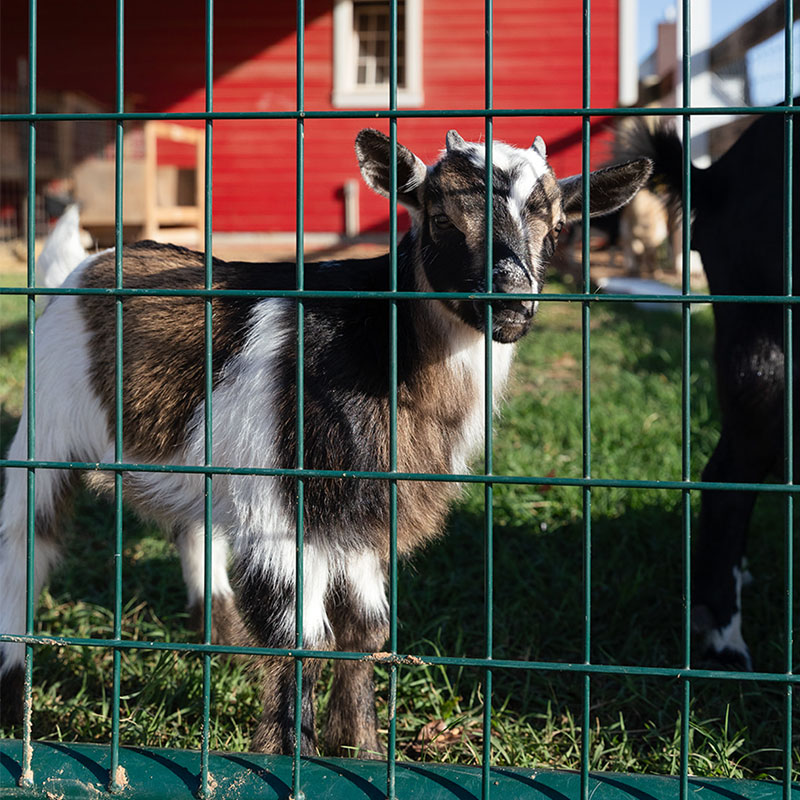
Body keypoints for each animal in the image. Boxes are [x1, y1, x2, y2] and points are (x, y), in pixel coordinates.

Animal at [0, 128, 650, 753]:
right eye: (440, 217)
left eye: (558, 226)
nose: (511, 301)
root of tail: (82, 267)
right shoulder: (279, 513)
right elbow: (300, 635)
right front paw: (290, 752)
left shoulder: (359, 518)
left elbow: (365, 628)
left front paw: (358, 745)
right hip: (44, 429)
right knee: (25, 542)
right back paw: (14, 690)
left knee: (194, 532)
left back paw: (220, 637)